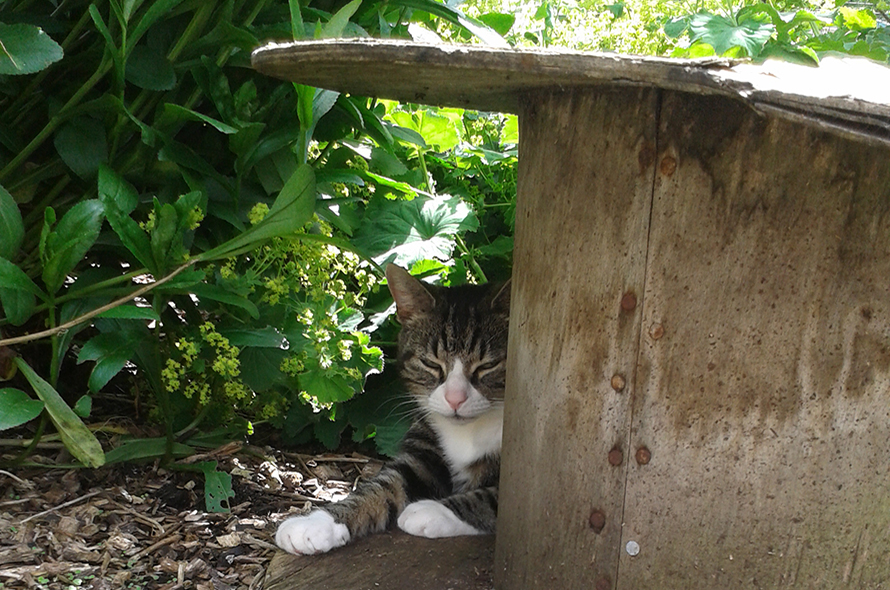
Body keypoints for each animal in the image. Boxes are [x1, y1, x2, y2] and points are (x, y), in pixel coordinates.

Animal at [278, 264, 512, 556]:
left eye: (487, 366)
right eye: (430, 363)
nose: (455, 399)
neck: (468, 432)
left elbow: (493, 499)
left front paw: (434, 511)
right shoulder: (422, 453)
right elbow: (382, 486)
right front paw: (317, 523)